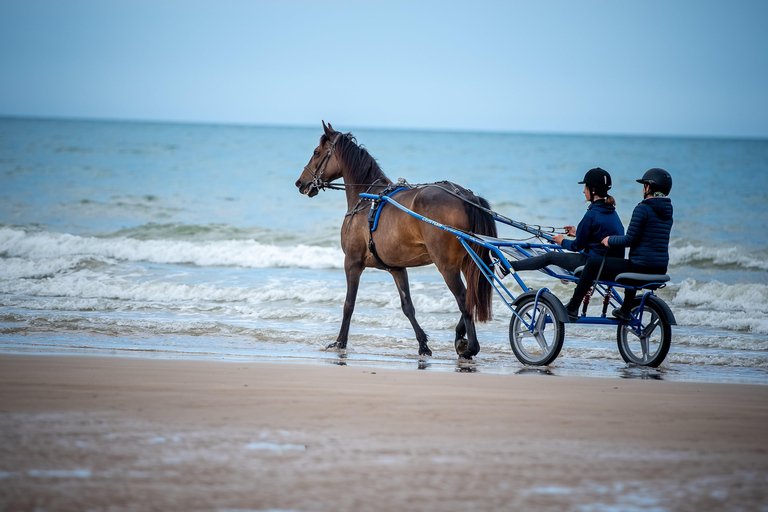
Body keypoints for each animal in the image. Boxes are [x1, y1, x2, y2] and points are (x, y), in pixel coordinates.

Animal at [294, 121, 498, 358]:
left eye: (317, 153)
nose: (300, 182)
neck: (367, 198)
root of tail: (466, 196)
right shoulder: (397, 268)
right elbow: (407, 306)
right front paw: (423, 344)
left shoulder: (352, 263)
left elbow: (349, 304)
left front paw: (340, 342)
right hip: (470, 262)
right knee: (472, 297)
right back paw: (460, 335)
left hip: (447, 266)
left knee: (464, 299)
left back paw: (470, 346)